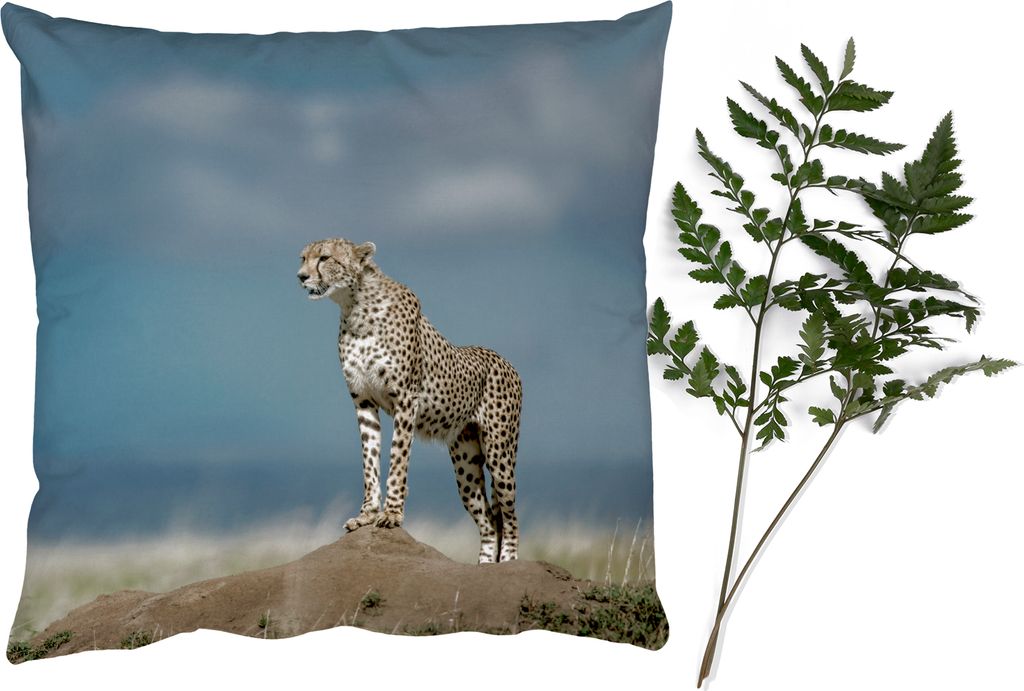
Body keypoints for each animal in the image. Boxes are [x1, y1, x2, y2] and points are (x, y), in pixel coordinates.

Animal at [297, 238, 522, 563]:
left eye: (325, 258)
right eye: (303, 258)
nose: (301, 277)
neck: (355, 306)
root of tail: (504, 360)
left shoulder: (406, 400)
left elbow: (397, 460)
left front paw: (391, 514)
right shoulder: (363, 401)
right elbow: (370, 461)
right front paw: (366, 515)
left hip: (499, 452)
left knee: (510, 514)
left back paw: (508, 562)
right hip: (466, 461)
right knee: (490, 521)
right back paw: (484, 567)